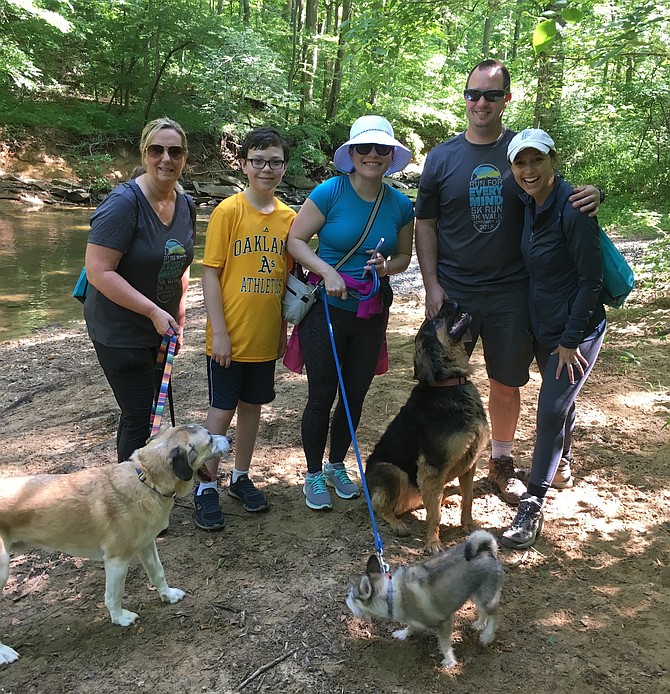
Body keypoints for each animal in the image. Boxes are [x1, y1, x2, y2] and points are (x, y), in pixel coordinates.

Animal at [0, 424, 230, 668]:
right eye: (210, 440)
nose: (230, 440)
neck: (146, 479)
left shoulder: (147, 544)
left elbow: (158, 573)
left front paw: (168, 596)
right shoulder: (117, 560)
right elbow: (114, 595)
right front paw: (120, 618)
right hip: (3, 570)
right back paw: (4, 653)